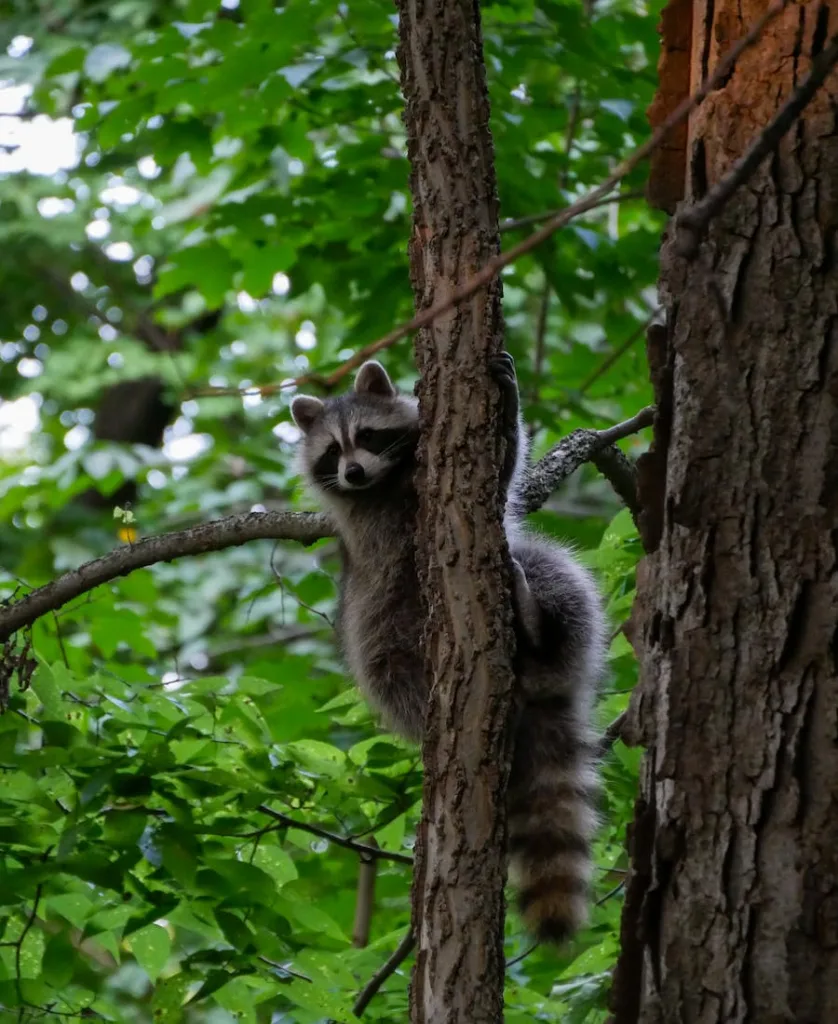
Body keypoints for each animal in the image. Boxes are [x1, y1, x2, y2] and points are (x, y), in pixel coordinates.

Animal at [290, 354, 602, 942]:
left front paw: (509, 401)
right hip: (385, 647)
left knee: (552, 569)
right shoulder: (372, 528)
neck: (386, 480)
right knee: (388, 668)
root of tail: (535, 689)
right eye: (332, 452)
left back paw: (538, 626)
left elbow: (502, 477)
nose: (354, 473)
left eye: (366, 436)